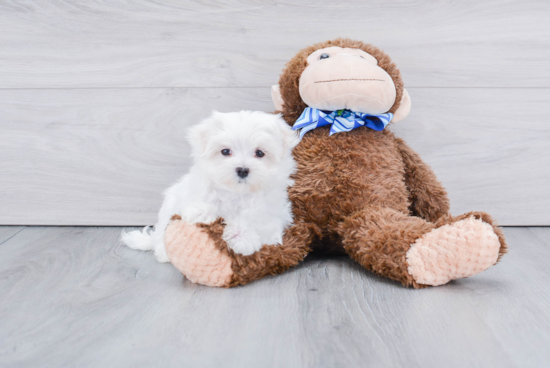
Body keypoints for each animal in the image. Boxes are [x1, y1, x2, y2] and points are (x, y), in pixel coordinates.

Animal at [122, 110, 300, 262]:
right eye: (225, 151)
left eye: (260, 153)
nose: (242, 170)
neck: (237, 192)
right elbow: (201, 205)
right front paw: (203, 213)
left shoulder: (272, 213)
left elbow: (256, 221)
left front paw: (241, 237)